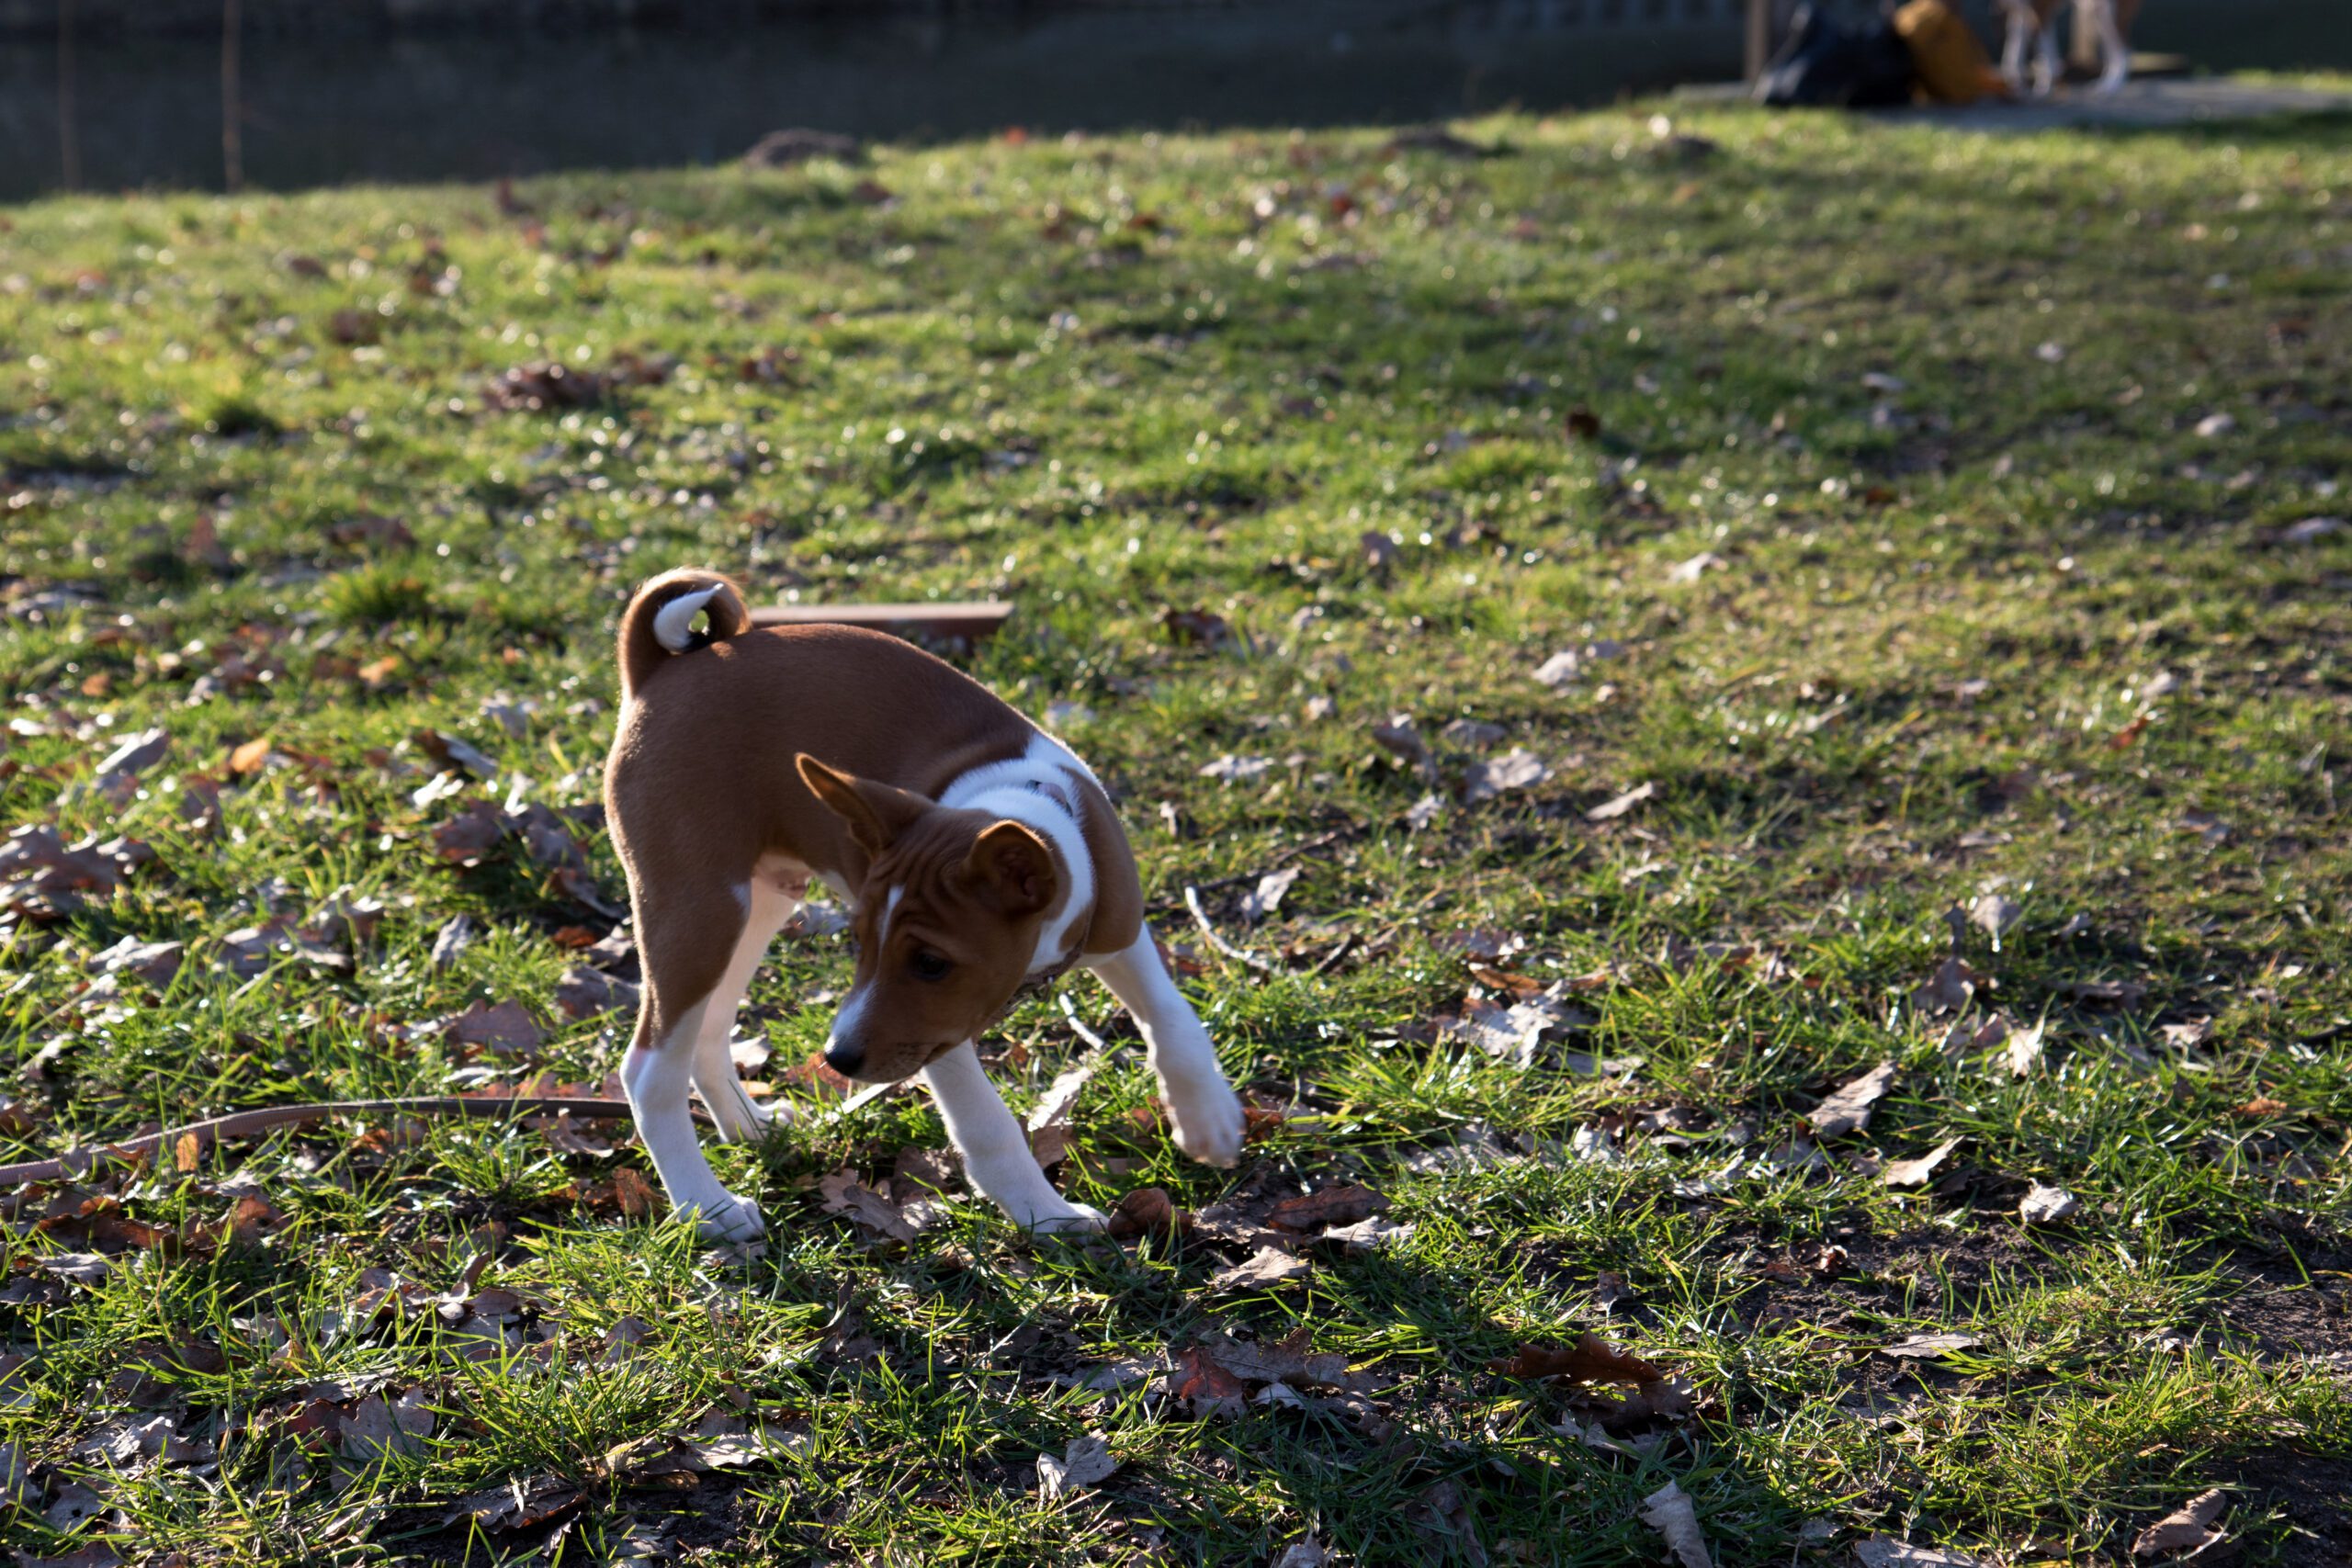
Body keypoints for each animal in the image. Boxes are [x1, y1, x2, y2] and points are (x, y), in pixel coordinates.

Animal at [602, 570, 1250, 1241]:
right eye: (861, 944)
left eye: (931, 962)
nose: (838, 1057)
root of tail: (658, 668)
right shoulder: (935, 1034)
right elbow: (988, 1124)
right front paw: (1046, 1214)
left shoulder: (1115, 927)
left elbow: (1174, 1018)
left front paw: (1208, 1119)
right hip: (700, 908)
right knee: (648, 1069)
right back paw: (708, 1208)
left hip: (757, 904)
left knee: (706, 1033)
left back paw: (751, 1128)